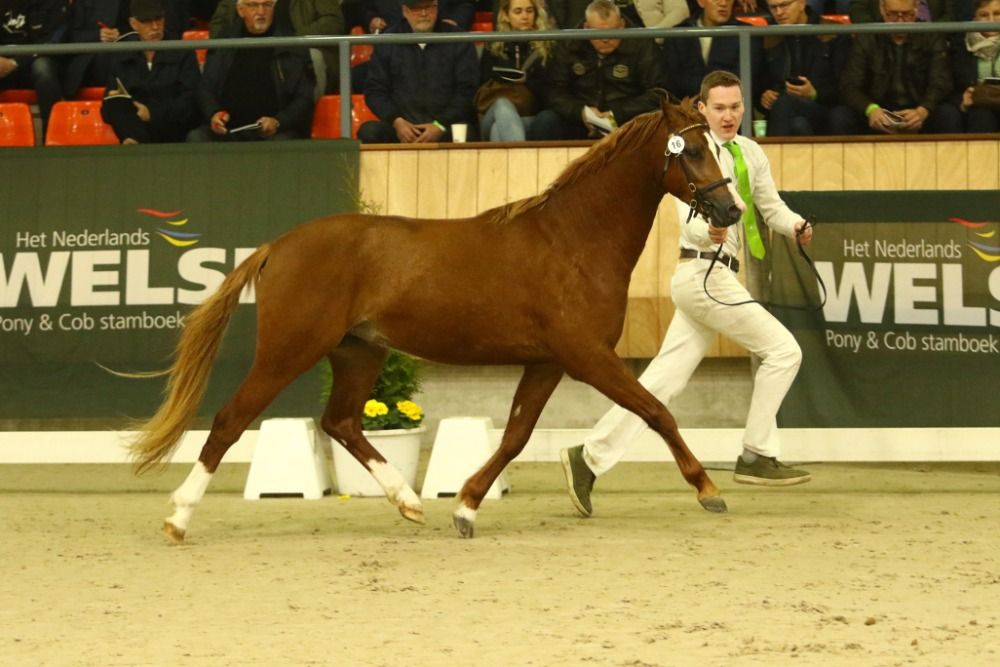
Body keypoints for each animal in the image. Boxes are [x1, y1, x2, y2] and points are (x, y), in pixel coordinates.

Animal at [131, 97, 743, 543]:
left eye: (716, 145)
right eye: (690, 150)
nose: (730, 210)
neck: (572, 240)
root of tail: (277, 246)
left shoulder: (547, 362)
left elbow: (516, 436)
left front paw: (466, 506)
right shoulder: (588, 356)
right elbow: (657, 411)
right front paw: (708, 489)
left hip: (359, 351)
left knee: (342, 423)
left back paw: (408, 501)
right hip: (290, 350)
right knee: (231, 420)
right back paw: (178, 518)